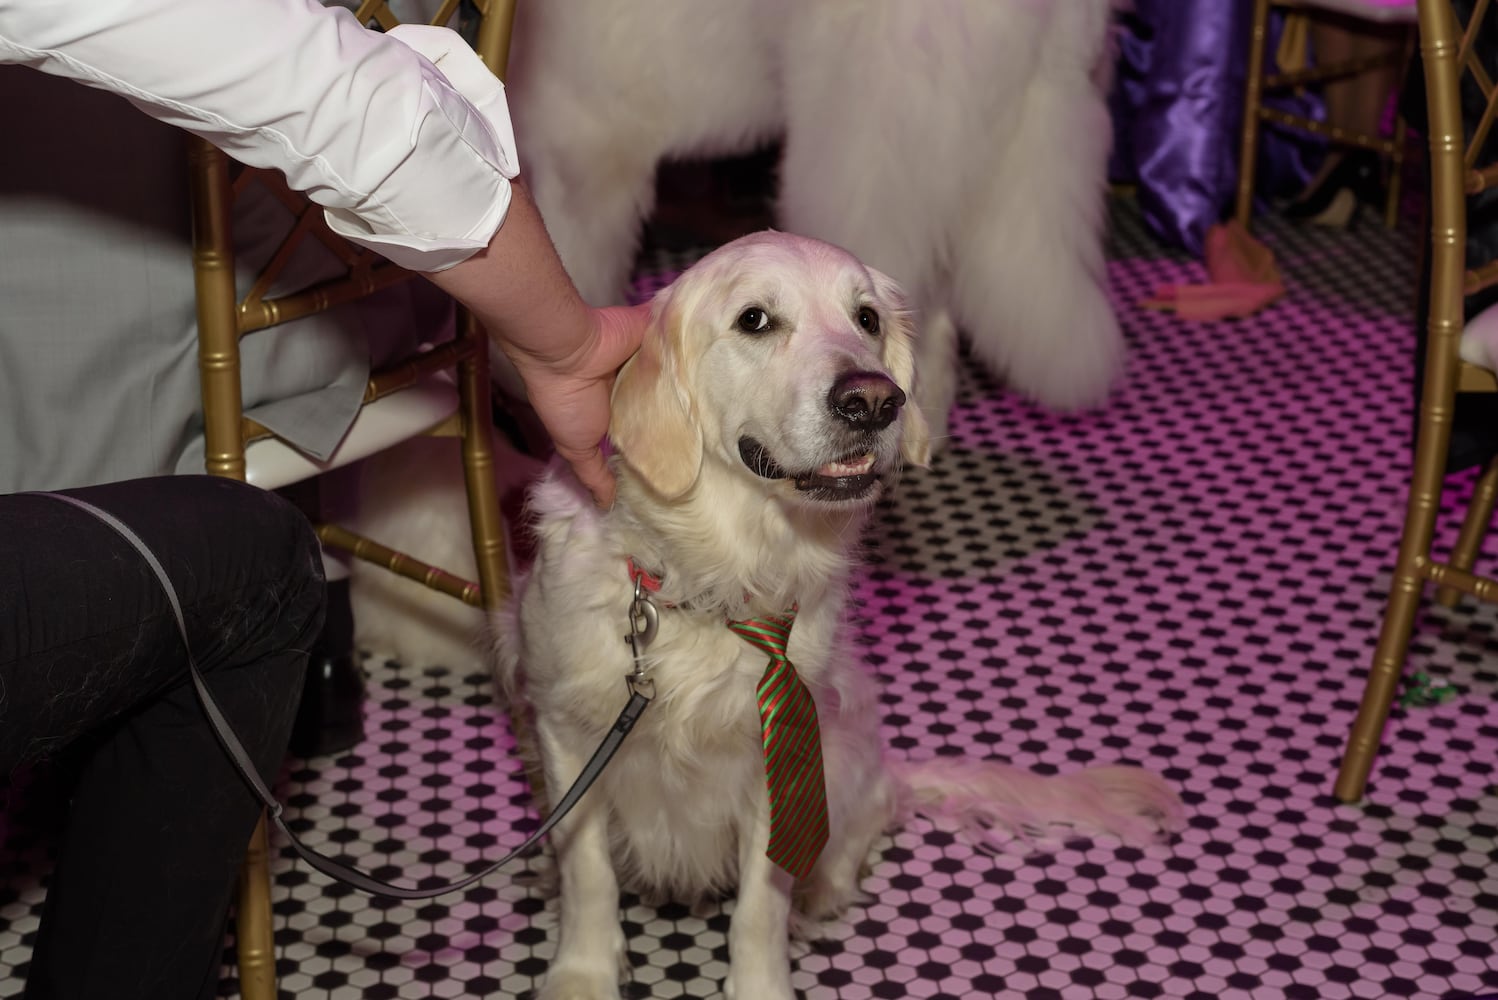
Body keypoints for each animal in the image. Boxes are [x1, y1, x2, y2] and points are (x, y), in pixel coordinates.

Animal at [491, 230, 1180, 994]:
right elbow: (587, 869)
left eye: (867, 319)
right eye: (755, 320)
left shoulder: (784, 750)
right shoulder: (566, 730)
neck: (715, 578)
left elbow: (762, 900)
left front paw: (760, 984)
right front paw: (581, 971)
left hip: (848, 755)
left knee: (870, 813)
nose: (875, 400)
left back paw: (824, 886)